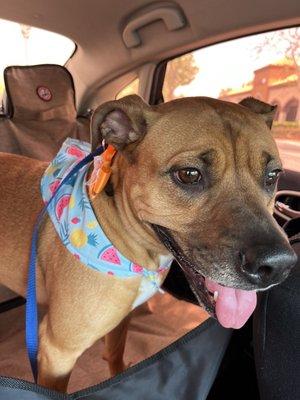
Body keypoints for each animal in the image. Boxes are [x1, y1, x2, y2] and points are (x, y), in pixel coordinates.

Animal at [0, 94, 296, 390]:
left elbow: (115, 355)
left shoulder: (122, 320)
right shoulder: (58, 353)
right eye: (189, 174)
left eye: (272, 176)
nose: (279, 265)